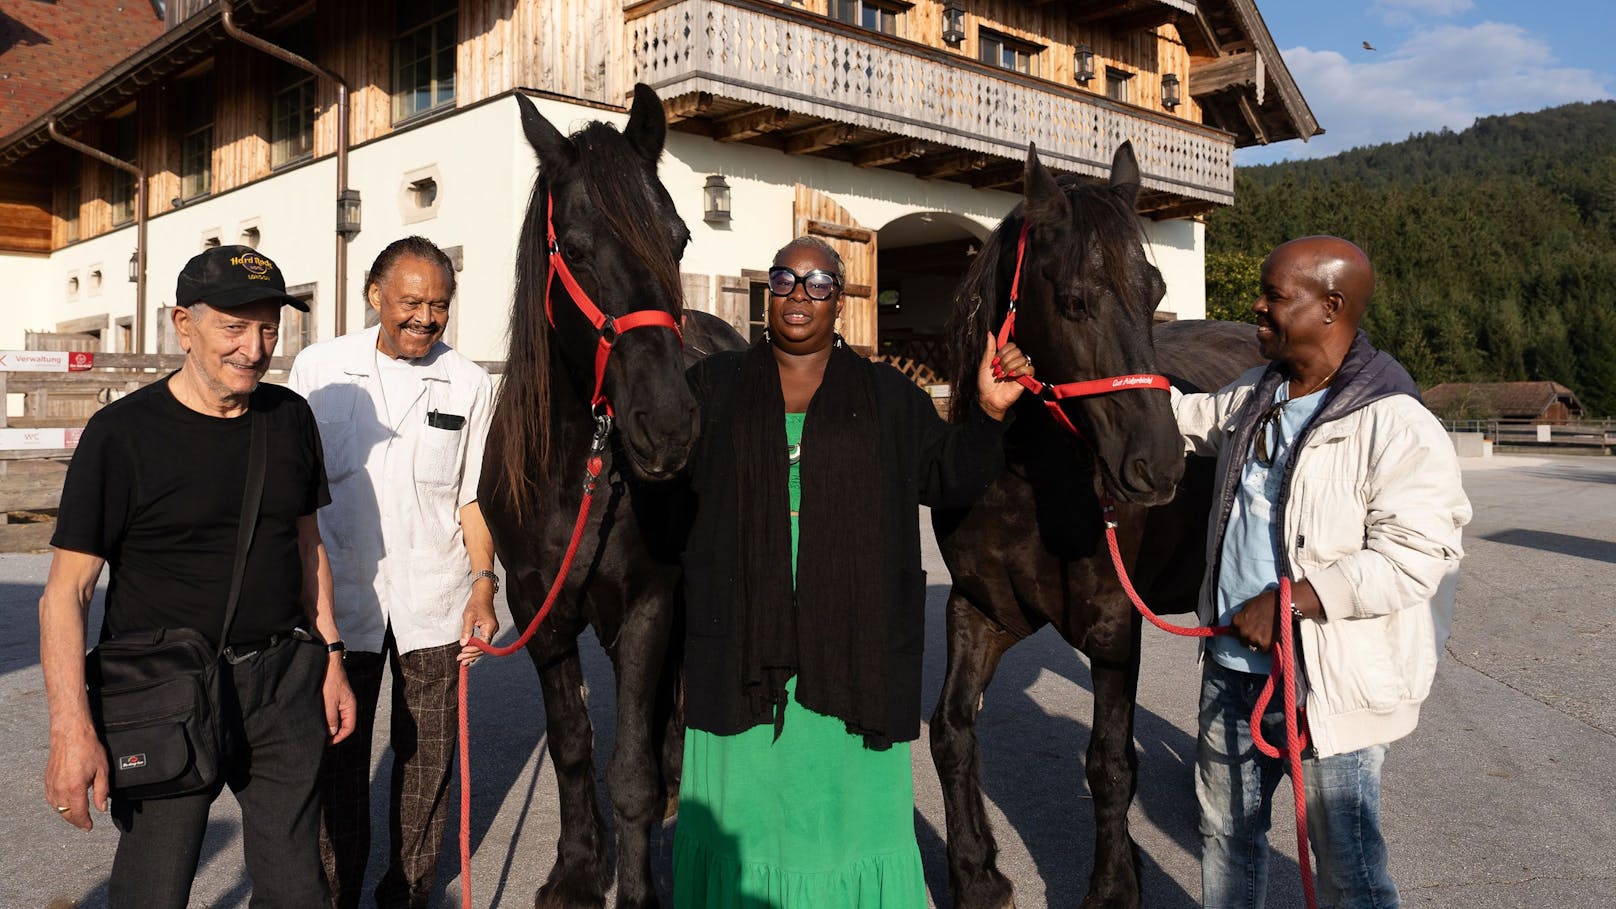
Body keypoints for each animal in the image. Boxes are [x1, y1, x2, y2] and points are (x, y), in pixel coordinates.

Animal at [481, 86, 746, 905]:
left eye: (681, 238)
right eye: (574, 244)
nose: (667, 423)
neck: (584, 472)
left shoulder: (650, 601)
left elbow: (627, 770)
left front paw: (636, 885)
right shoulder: (539, 605)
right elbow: (572, 744)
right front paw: (576, 868)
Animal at [937, 144, 1260, 899]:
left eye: (1155, 290)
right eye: (1074, 300)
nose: (1159, 463)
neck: (1025, 484)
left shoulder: (1116, 626)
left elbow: (1109, 761)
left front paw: (1114, 884)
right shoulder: (977, 609)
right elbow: (952, 730)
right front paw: (977, 874)